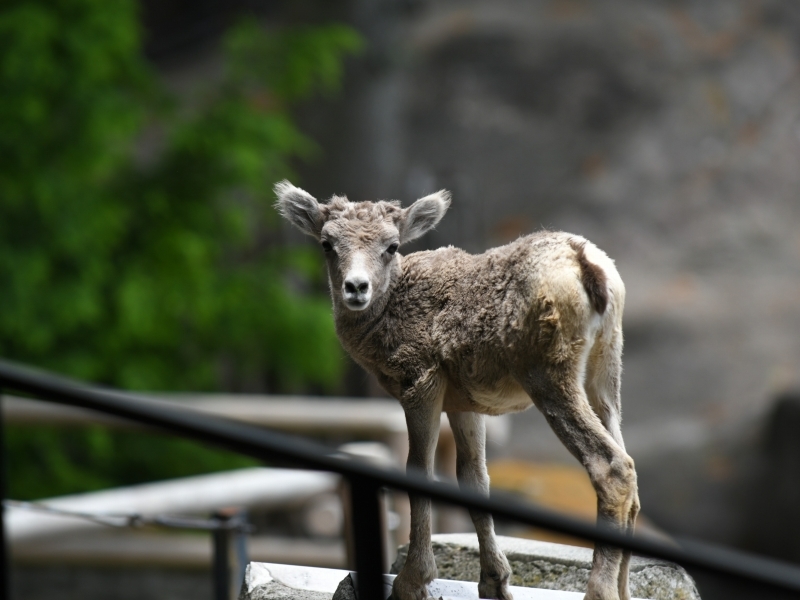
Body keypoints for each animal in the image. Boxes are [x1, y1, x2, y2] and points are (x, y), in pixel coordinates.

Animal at [278, 182, 640, 600]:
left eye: (392, 246)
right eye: (326, 243)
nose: (356, 287)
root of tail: (590, 267)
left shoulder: (420, 382)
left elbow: (419, 472)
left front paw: (411, 582)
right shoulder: (464, 402)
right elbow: (474, 479)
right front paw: (493, 583)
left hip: (549, 373)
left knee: (611, 466)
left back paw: (599, 591)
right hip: (607, 369)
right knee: (630, 471)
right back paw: (626, 590)